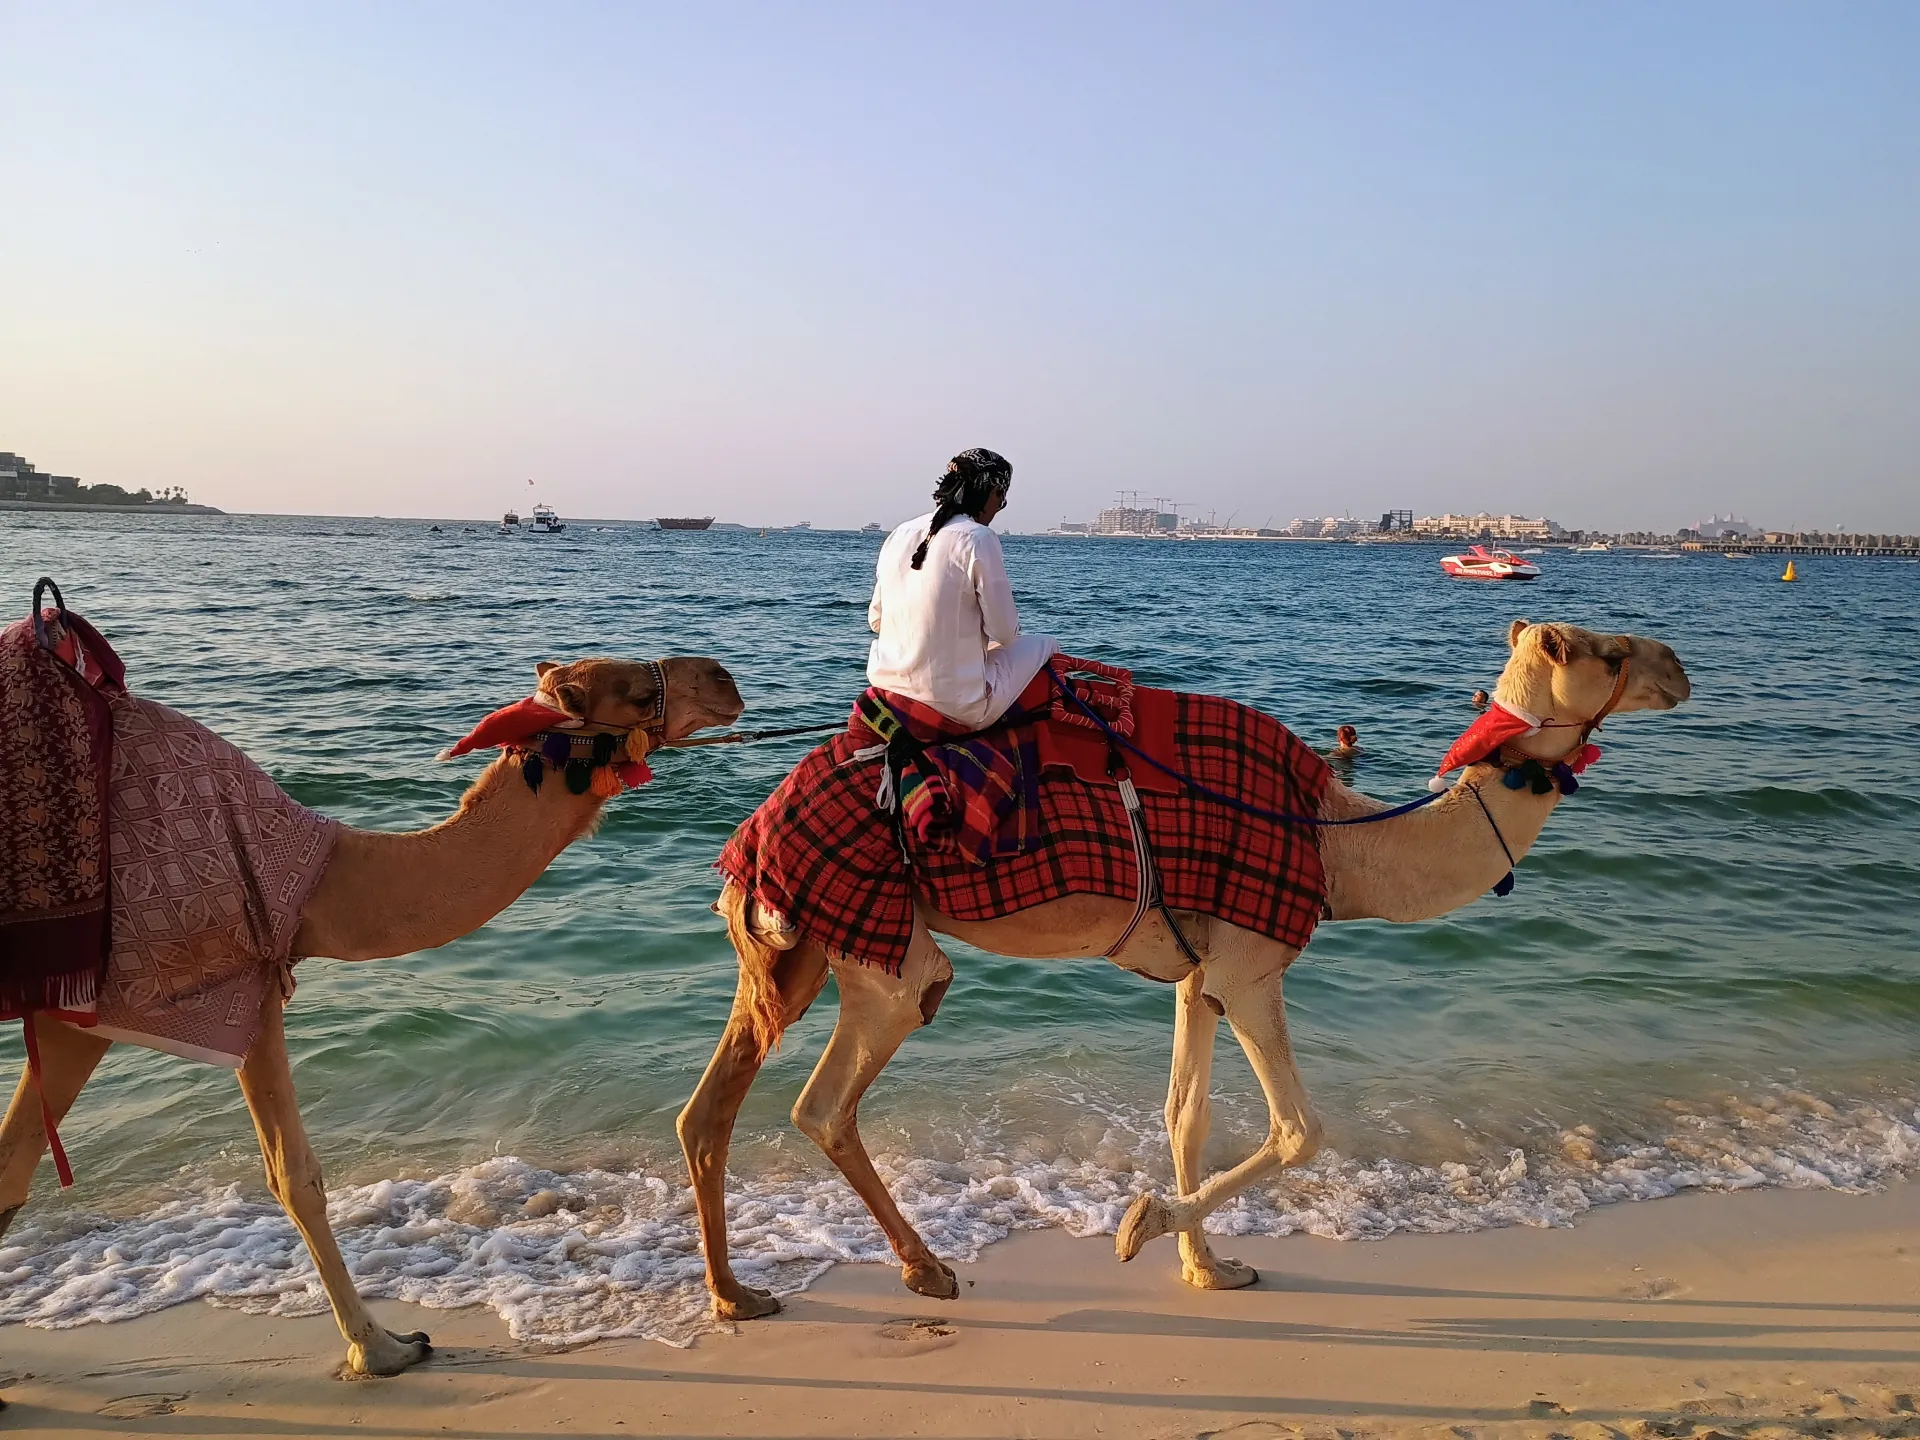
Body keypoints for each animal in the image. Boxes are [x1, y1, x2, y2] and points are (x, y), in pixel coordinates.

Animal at [0, 654, 743, 1382]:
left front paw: (384, 1341)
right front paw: (383, 1349)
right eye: (637, 691)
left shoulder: (145, 1001)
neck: (320, 884)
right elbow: (293, 1176)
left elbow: (17, 1163)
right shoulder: (147, 994)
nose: (725, 680)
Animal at [680, 619, 1690, 1317]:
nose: (1677, 665)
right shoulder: (1250, 963)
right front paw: (1141, 1226)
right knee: (826, 1100)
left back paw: (741, 1295)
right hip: (882, 949)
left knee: (712, 1109)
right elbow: (1299, 1130)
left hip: (796, 948)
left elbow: (1186, 1114)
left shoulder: (1200, 974)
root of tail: (754, 830)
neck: (1339, 844)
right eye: (1603, 651)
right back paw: (923, 1271)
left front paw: (1210, 1267)